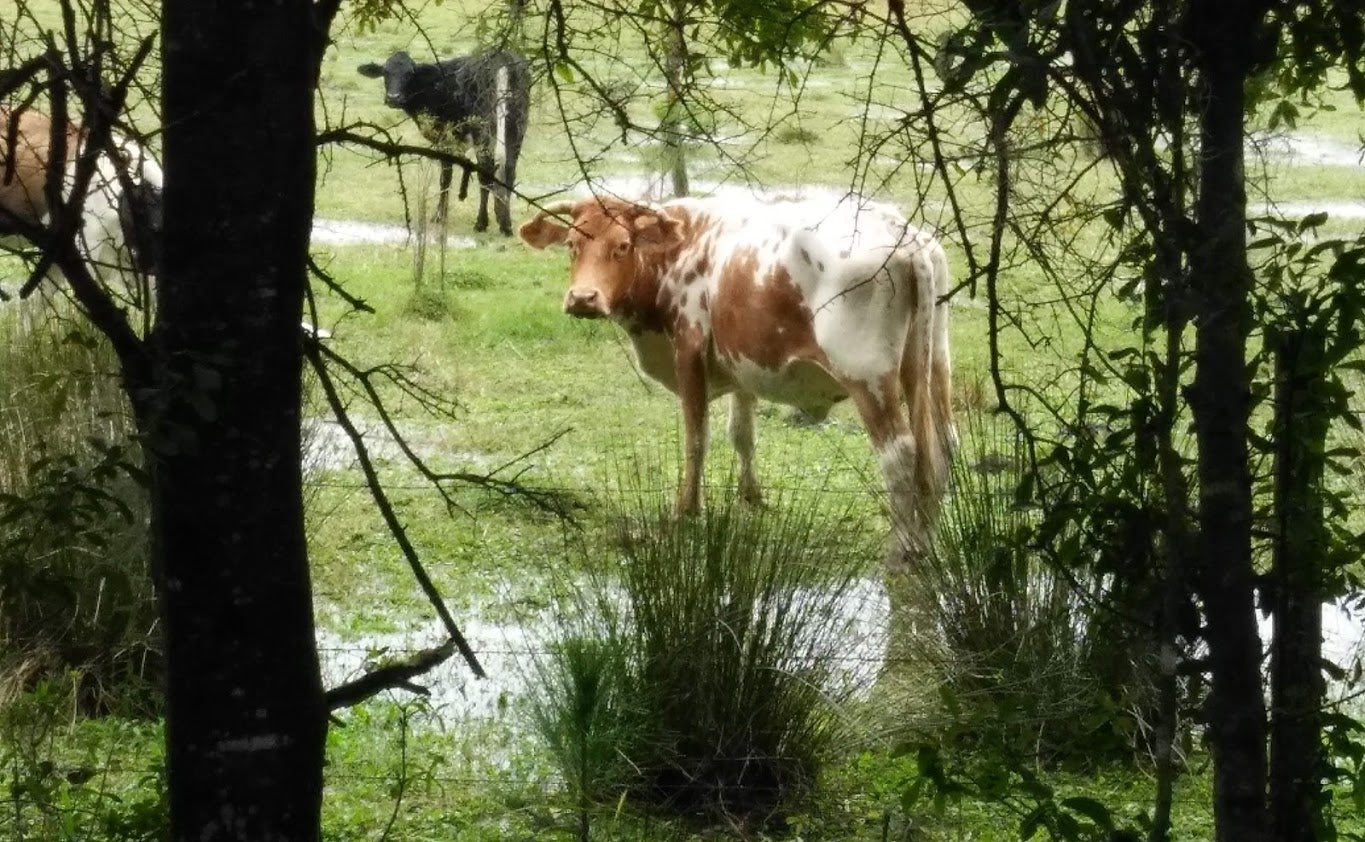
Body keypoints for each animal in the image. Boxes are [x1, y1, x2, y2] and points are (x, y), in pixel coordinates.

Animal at [354, 48, 529, 234]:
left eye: (409, 74)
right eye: (386, 72)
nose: (393, 97)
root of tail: (502, 57)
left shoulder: (445, 138)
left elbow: (445, 176)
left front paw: (439, 216)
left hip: (482, 128)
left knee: (486, 169)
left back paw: (481, 223)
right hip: (517, 124)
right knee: (509, 169)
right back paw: (505, 223)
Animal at [515, 195, 955, 564]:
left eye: (622, 246)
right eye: (572, 244)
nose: (583, 298)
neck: (682, 246)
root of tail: (906, 238)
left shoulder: (689, 350)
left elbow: (697, 439)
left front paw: (687, 510)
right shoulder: (741, 366)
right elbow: (742, 434)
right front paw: (752, 497)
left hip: (867, 377)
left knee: (901, 454)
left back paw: (902, 547)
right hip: (932, 365)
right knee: (942, 445)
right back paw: (928, 540)